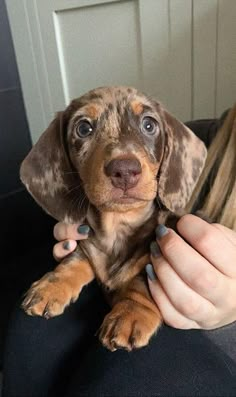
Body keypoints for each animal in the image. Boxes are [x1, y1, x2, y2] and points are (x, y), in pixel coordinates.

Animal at [21, 86, 207, 350]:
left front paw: (130, 313)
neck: (118, 227)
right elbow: (74, 259)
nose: (125, 170)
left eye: (149, 125)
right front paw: (51, 285)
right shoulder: (87, 244)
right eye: (83, 128)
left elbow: (143, 280)